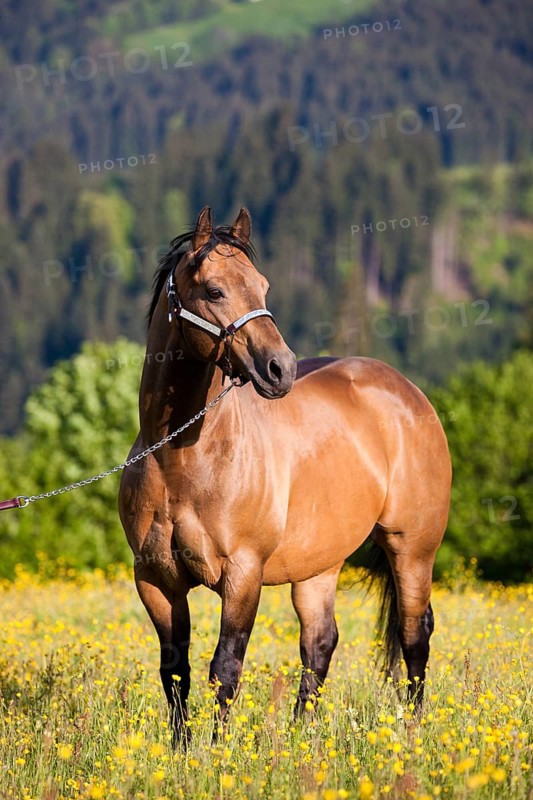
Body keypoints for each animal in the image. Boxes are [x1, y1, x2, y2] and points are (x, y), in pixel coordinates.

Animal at [118, 206, 451, 744]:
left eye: (263, 286)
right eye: (214, 290)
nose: (281, 369)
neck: (179, 461)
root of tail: (408, 393)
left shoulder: (243, 573)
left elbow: (225, 668)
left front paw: (216, 752)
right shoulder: (155, 578)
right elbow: (175, 671)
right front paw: (180, 749)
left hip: (413, 548)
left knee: (413, 634)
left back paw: (413, 731)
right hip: (319, 564)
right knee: (319, 643)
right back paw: (301, 736)